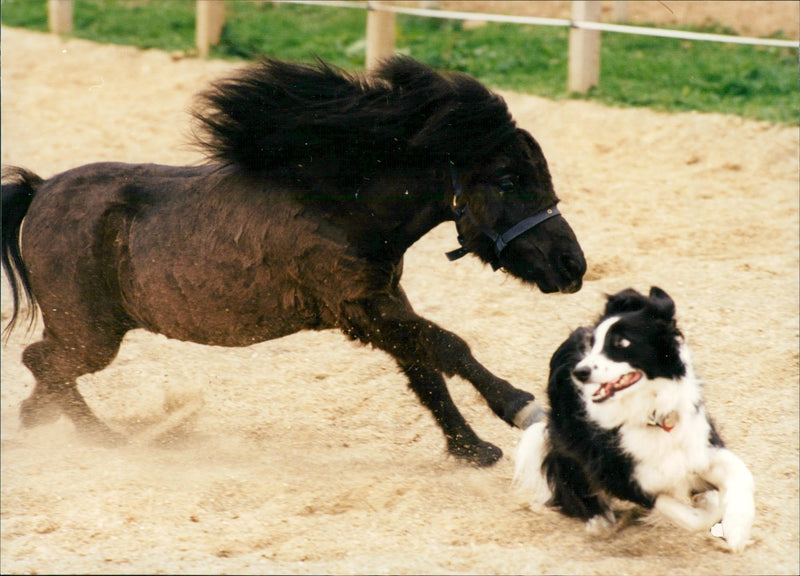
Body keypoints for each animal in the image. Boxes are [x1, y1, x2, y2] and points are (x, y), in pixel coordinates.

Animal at [3, 56, 584, 466]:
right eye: (508, 179)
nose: (573, 265)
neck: (341, 204)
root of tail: (39, 191)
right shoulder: (359, 309)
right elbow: (448, 347)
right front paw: (520, 408)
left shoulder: (384, 302)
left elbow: (426, 370)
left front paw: (470, 449)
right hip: (93, 335)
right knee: (42, 362)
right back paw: (101, 438)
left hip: (84, 333)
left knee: (46, 368)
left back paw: (38, 421)